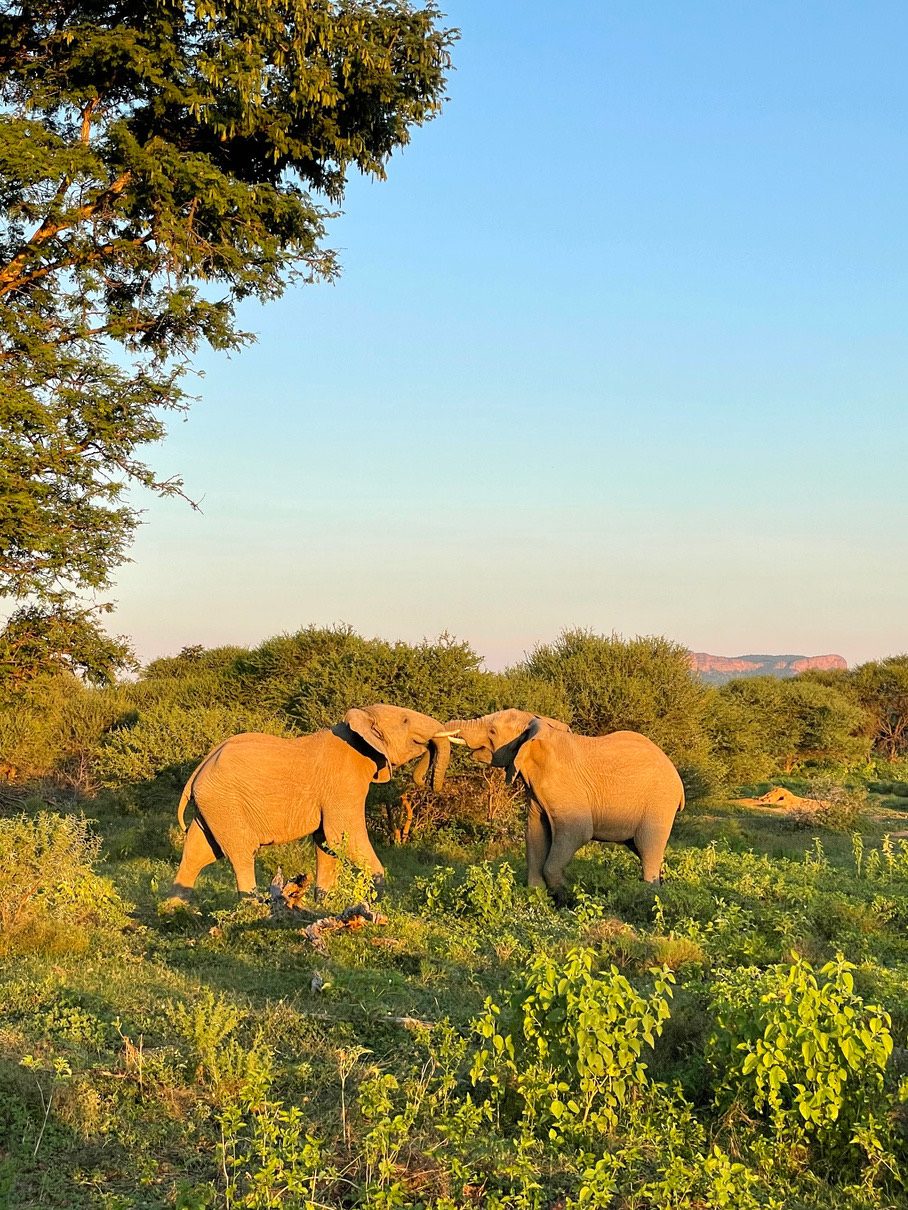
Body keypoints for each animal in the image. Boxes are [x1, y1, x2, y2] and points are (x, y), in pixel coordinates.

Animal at [168, 704, 459, 900]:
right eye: (406, 720)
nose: (425, 781)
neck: (360, 721)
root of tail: (201, 766)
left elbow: (327, 842)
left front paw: (325, 903)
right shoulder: (343, 782)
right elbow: (343, 836)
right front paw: (380, 900)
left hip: (213, 804)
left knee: (197, 851)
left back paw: (175, 910)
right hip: (224, 802)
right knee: (241, 853)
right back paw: (253, 908)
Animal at [489, 717, 685, 897]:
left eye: (492, 731)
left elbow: (577, 832)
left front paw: (567, 895)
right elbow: (535, 835)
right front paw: (539, 895)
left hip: (660, 801)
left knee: (647, 848)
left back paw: (651, 894)